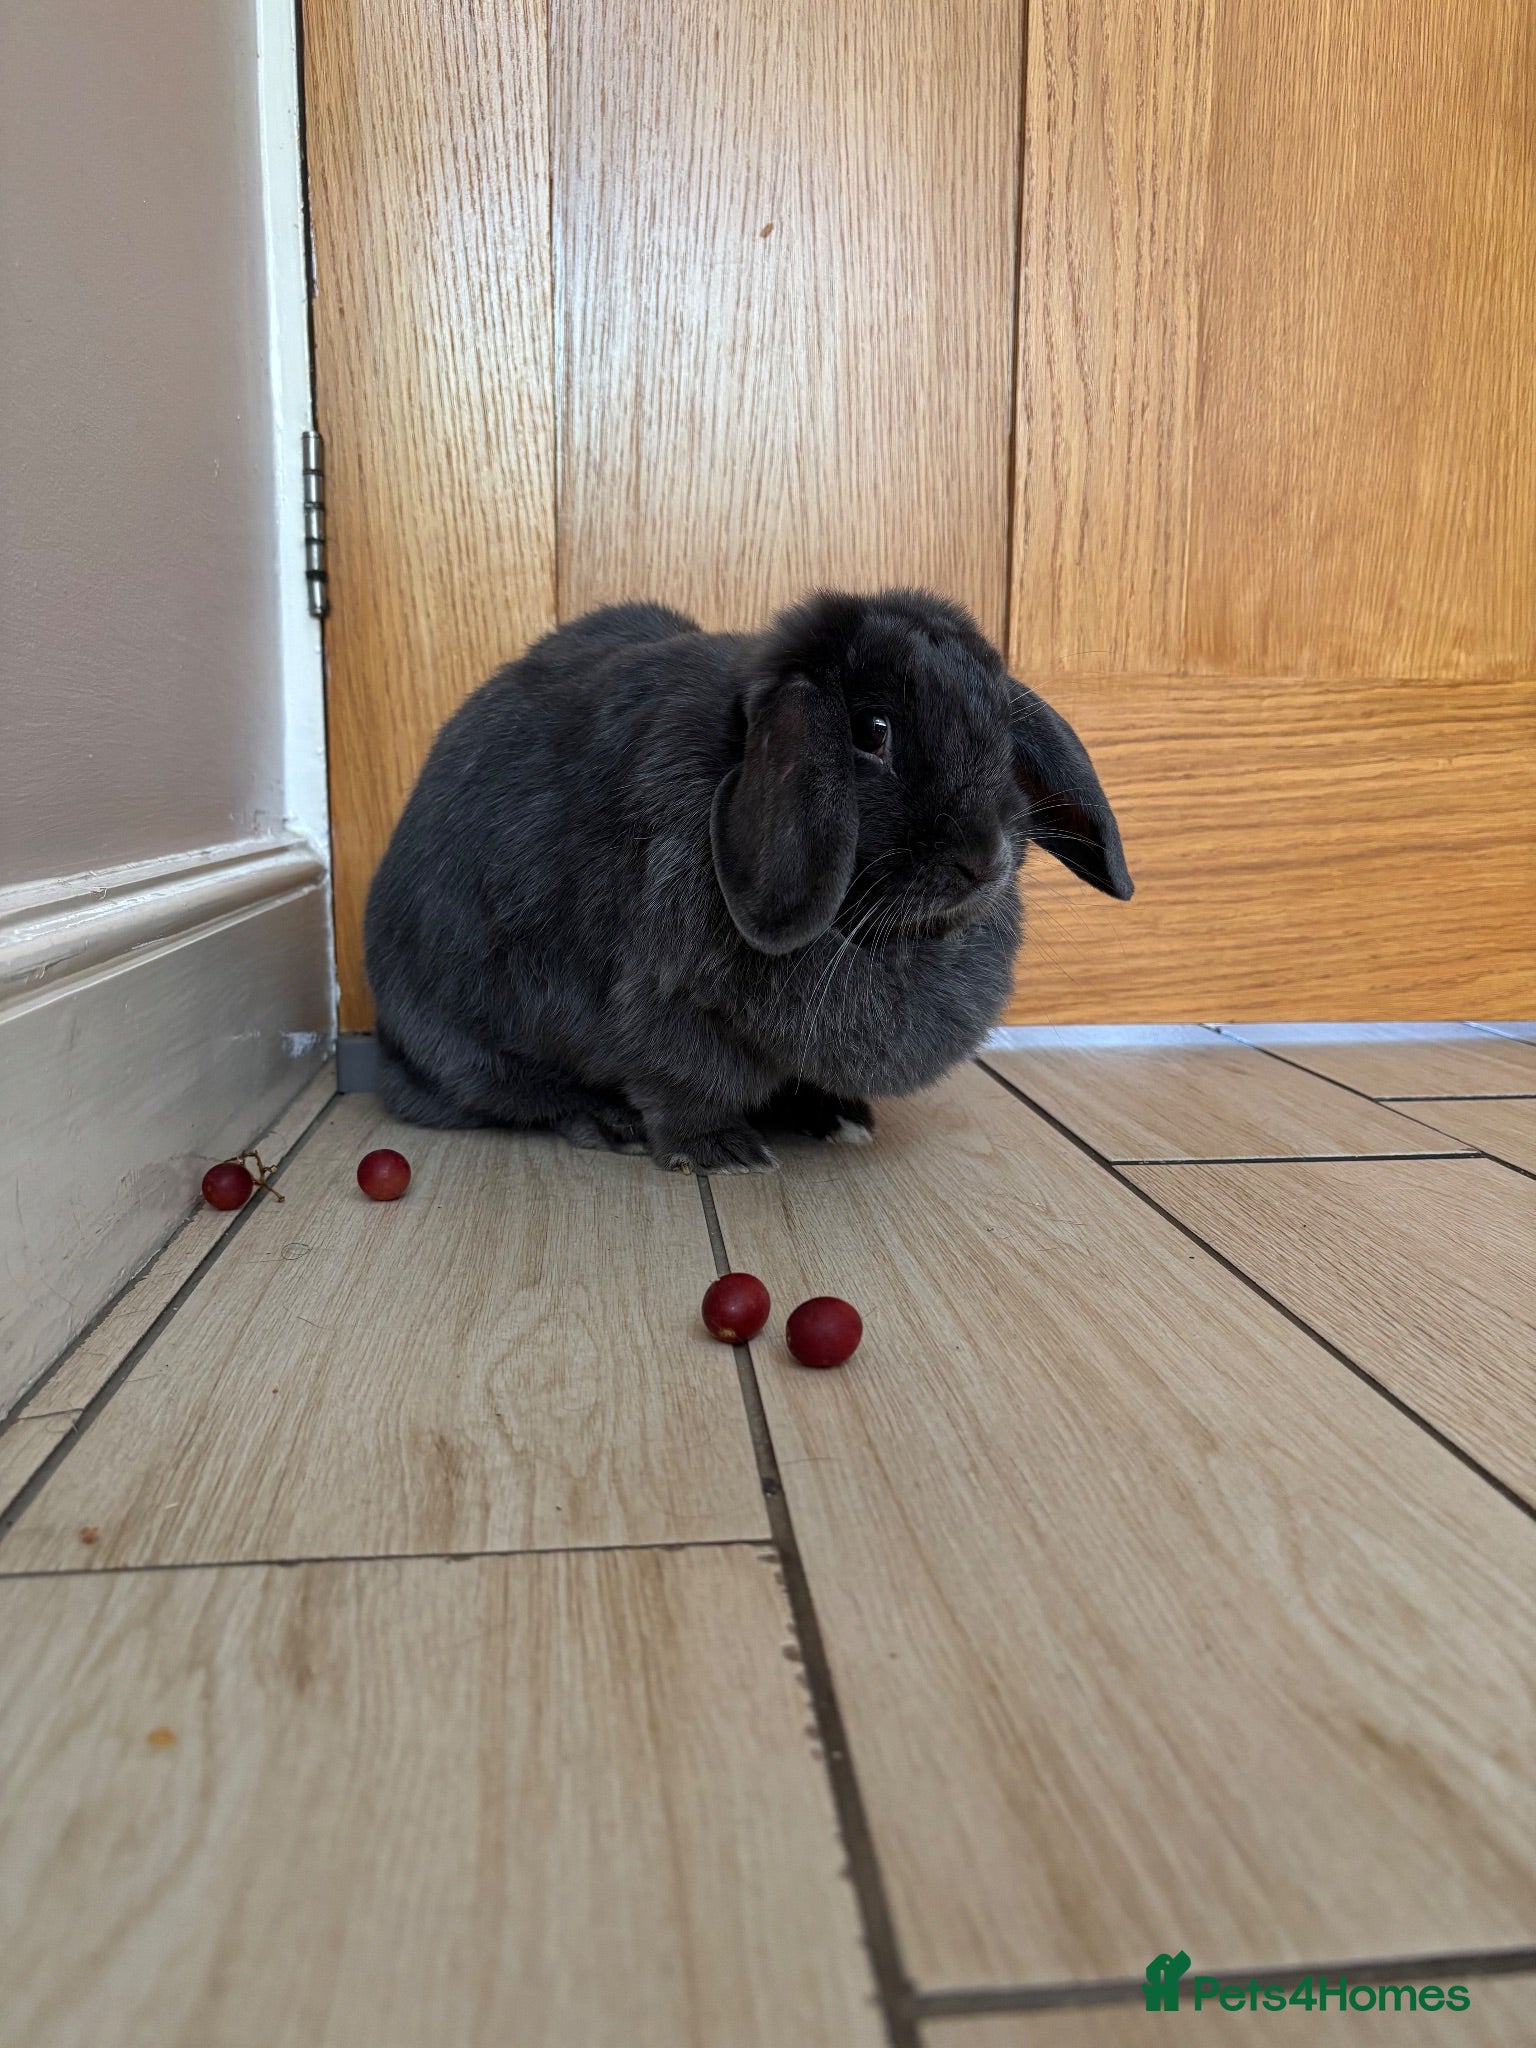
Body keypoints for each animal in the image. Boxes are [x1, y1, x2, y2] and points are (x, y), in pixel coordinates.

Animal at [364, 587, 1132, 1173]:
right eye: (872, 729)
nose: (987, 857)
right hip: (469, 1042)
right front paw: (720, 1153)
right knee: (518, 1098)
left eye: (1002, 733)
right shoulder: (664, 1004)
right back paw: (608, 1122)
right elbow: (680, 1083)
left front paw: (836, 1115)